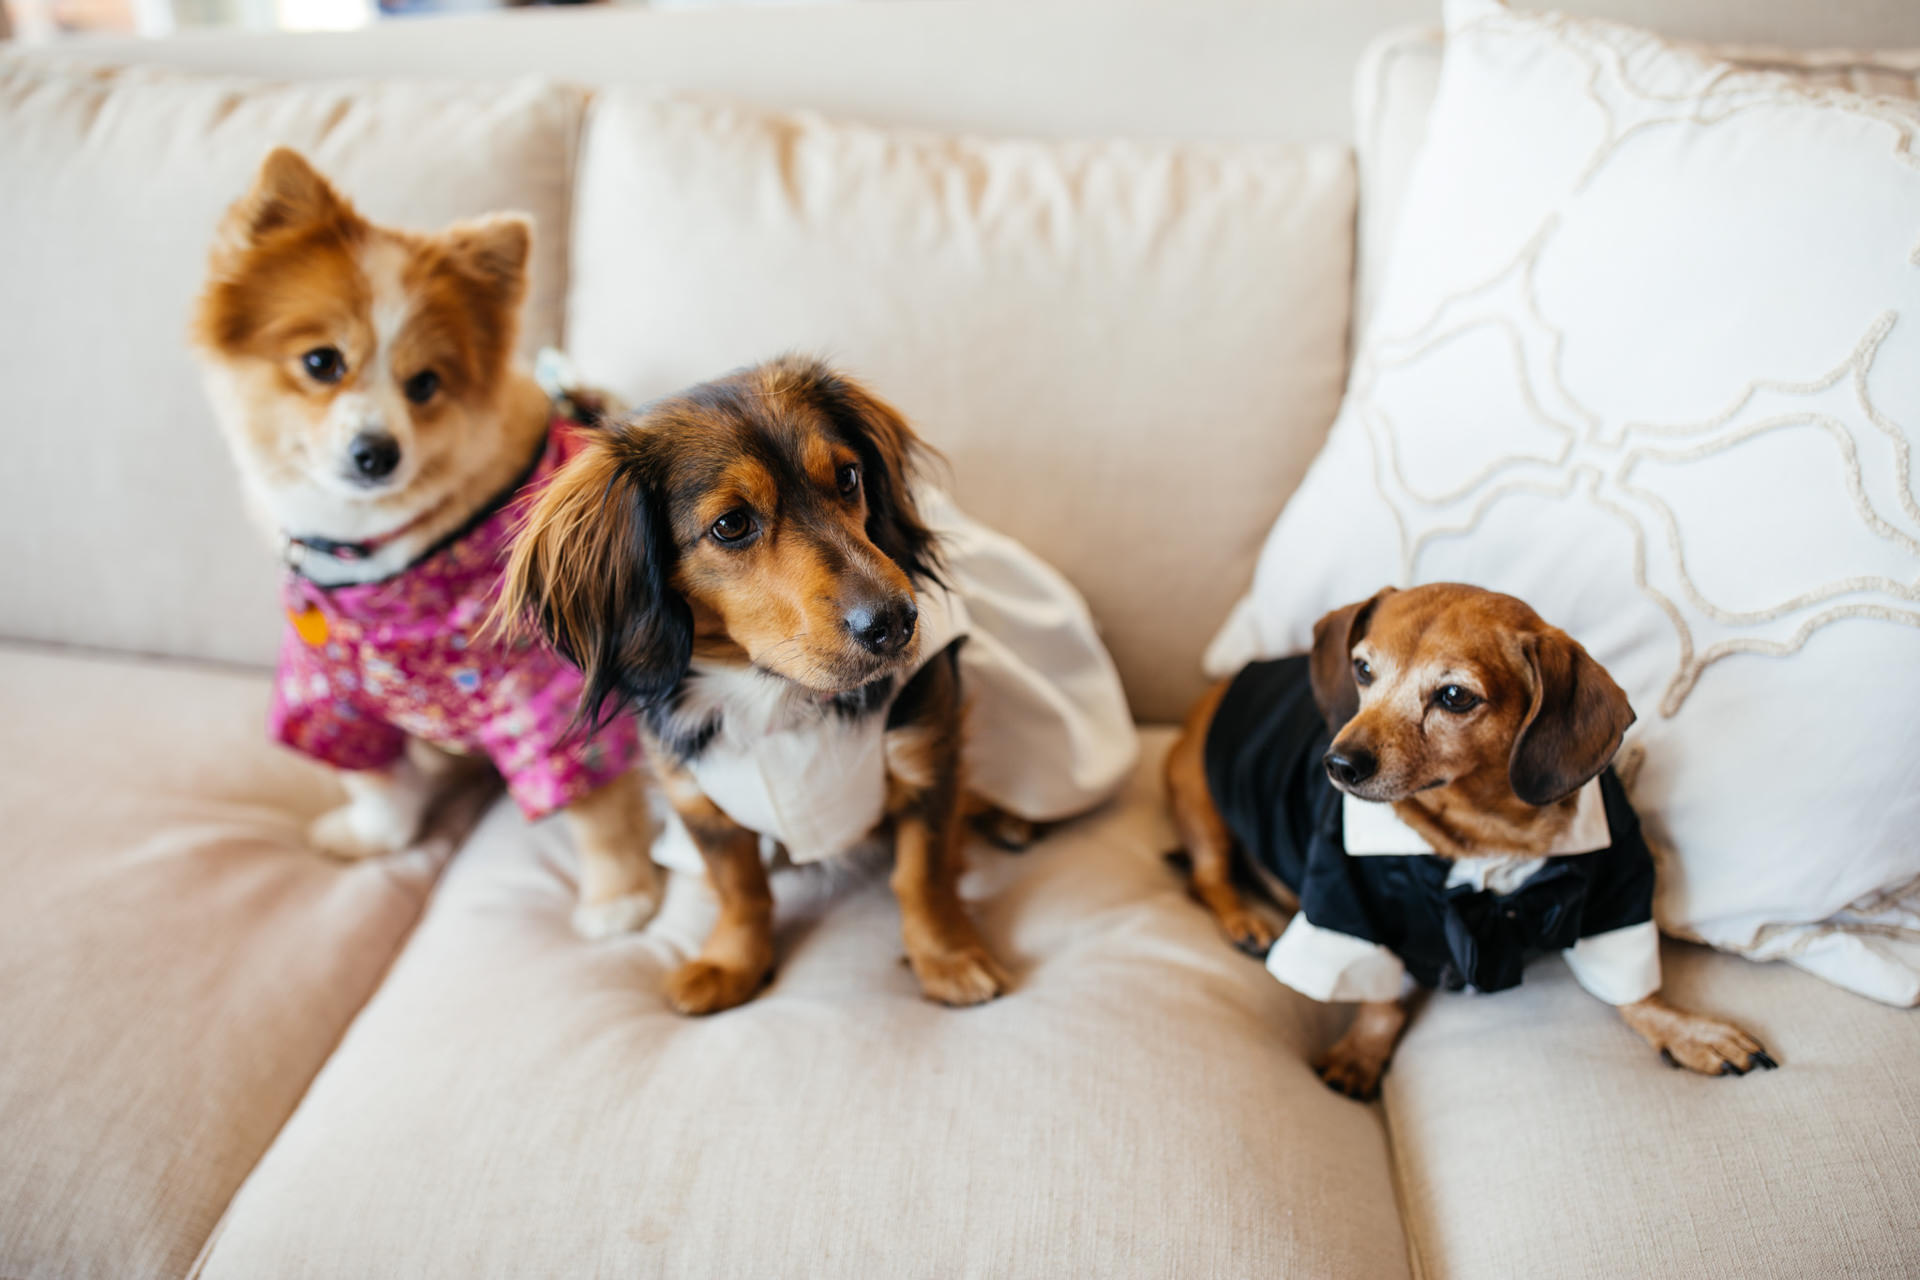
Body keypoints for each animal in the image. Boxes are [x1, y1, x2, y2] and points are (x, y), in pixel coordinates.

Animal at [194, 150, 660, 936]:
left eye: (425, 385)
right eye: (321, 362)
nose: (375, 451)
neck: (391, 565)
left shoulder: (547, 689)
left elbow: (596, 805)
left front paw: (619, 898)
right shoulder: (332, 690)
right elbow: (374, 777)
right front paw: (376, 835)